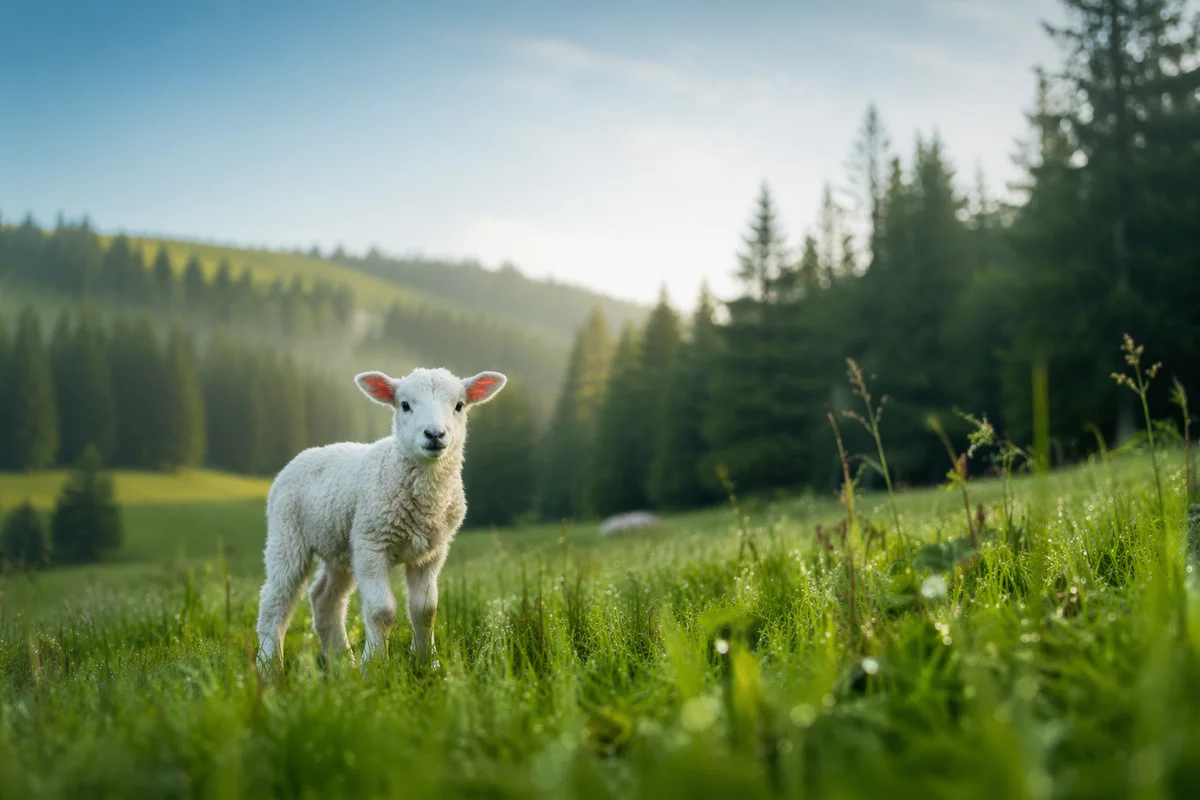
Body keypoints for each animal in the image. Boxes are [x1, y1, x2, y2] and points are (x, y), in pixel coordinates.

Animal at [254, 366, 506, 670]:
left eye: (459, 405)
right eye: (405, 405)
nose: (434, 434)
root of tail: (307, 453)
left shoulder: (431, 553)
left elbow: (426, 610)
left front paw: (427, 664)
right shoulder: (372, 544)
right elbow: (381, 610)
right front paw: (374, 666)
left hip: (341, 547)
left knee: (325, 599)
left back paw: (342, 664)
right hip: (288, 535)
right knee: (275, 600)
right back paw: (269, 666)